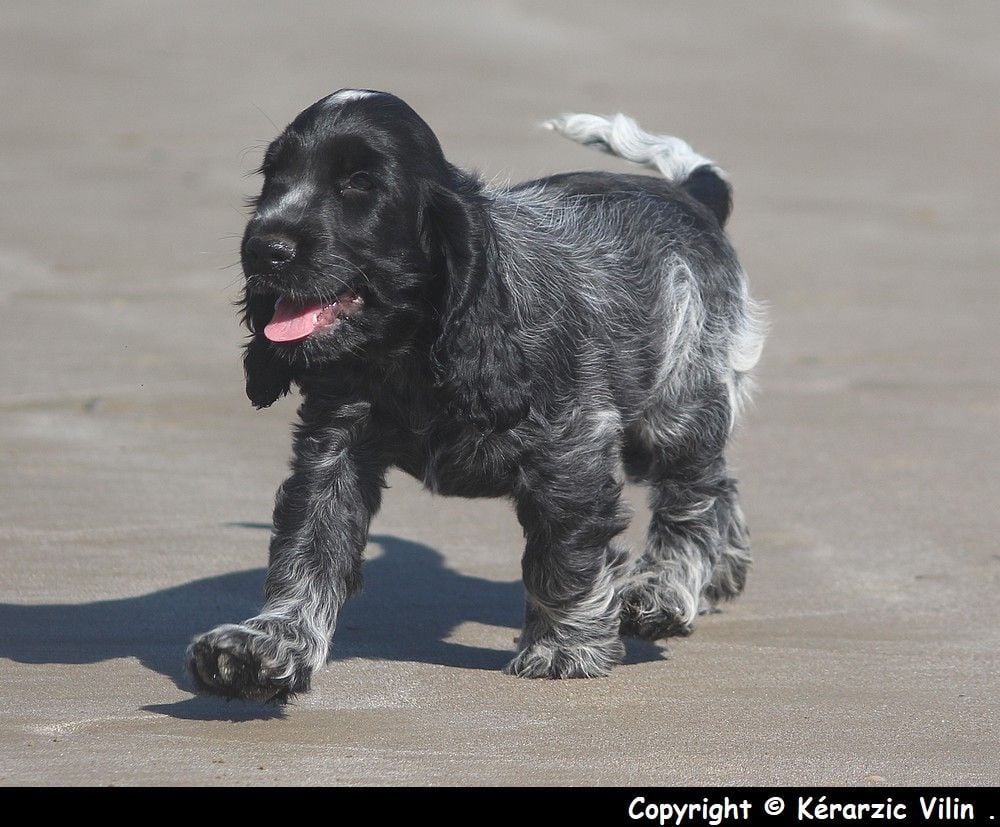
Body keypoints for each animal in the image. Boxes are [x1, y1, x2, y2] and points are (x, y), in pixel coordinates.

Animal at [188, 89, 764, 700]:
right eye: (272, 176)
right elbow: (310, 545)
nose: (262, 248)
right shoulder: (334, 446)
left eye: (359, 183)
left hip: (674, 408)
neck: (409, 347)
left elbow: (564, 552)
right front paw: (267, 645)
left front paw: (564, 648)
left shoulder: (570, 448)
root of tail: (690, 196)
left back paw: (663, 591)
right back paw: (720, 575)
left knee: (692, 497)